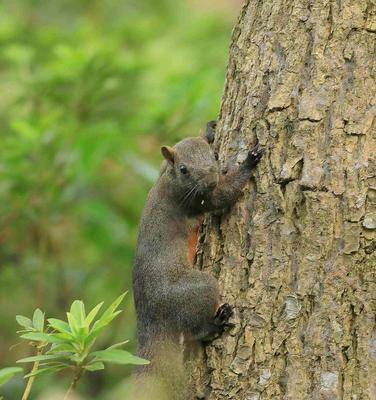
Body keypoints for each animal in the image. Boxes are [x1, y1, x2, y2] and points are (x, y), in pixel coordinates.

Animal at [132, 122, 264, 400]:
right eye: (184, 169)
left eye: (214, 156)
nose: (212, 179)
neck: (170, 181)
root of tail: (150, 315)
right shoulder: (197, 200)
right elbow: (224, 195)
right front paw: (249, 161)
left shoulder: (163, 170)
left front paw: (209, 130)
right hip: (197, 289)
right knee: (195, 331)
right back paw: (216, 323)